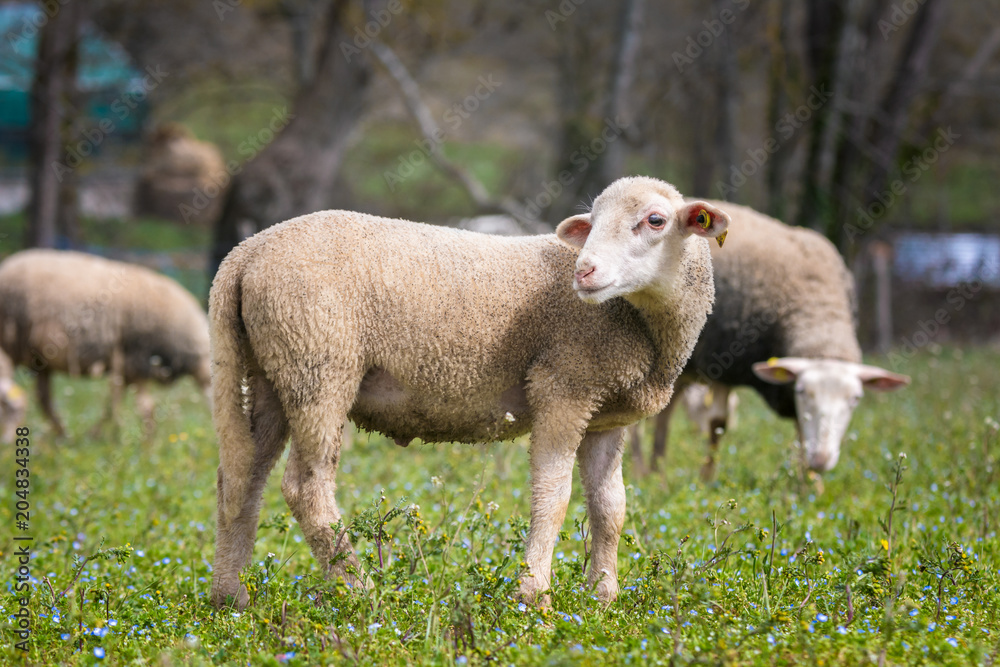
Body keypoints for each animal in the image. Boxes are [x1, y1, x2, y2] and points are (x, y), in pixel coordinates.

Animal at [207, 176, 732, 612]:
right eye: (594, 222)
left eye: (656, 220)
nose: (583, 271)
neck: (640, 323)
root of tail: (243, 255)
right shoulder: (563, 384)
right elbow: (554, 496)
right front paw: (535, 595)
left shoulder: (606, 415)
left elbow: (611, 508)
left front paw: (602, 596)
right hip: (320, 363)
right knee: (306, 488)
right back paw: (361, 590)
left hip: (273, 371)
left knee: (242, 478)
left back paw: (230, 596)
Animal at [632, 200, 908, 480]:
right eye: (802, 391)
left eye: (855, 399)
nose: (821, 460)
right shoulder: (723, 359)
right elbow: (718, 423)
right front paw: (706, 481)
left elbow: (801, 431)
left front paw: (810, 484)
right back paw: (645, 473)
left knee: (664, 412)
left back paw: (657, 472)